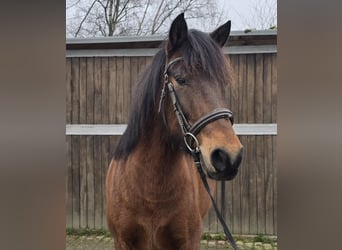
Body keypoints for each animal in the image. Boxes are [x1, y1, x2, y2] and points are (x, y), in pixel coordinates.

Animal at [106, 13, 243, 250]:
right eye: (180, 79)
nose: (229, 156)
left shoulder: (189, 241)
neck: (150, 190)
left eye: (222, 83)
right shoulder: (122, 242)